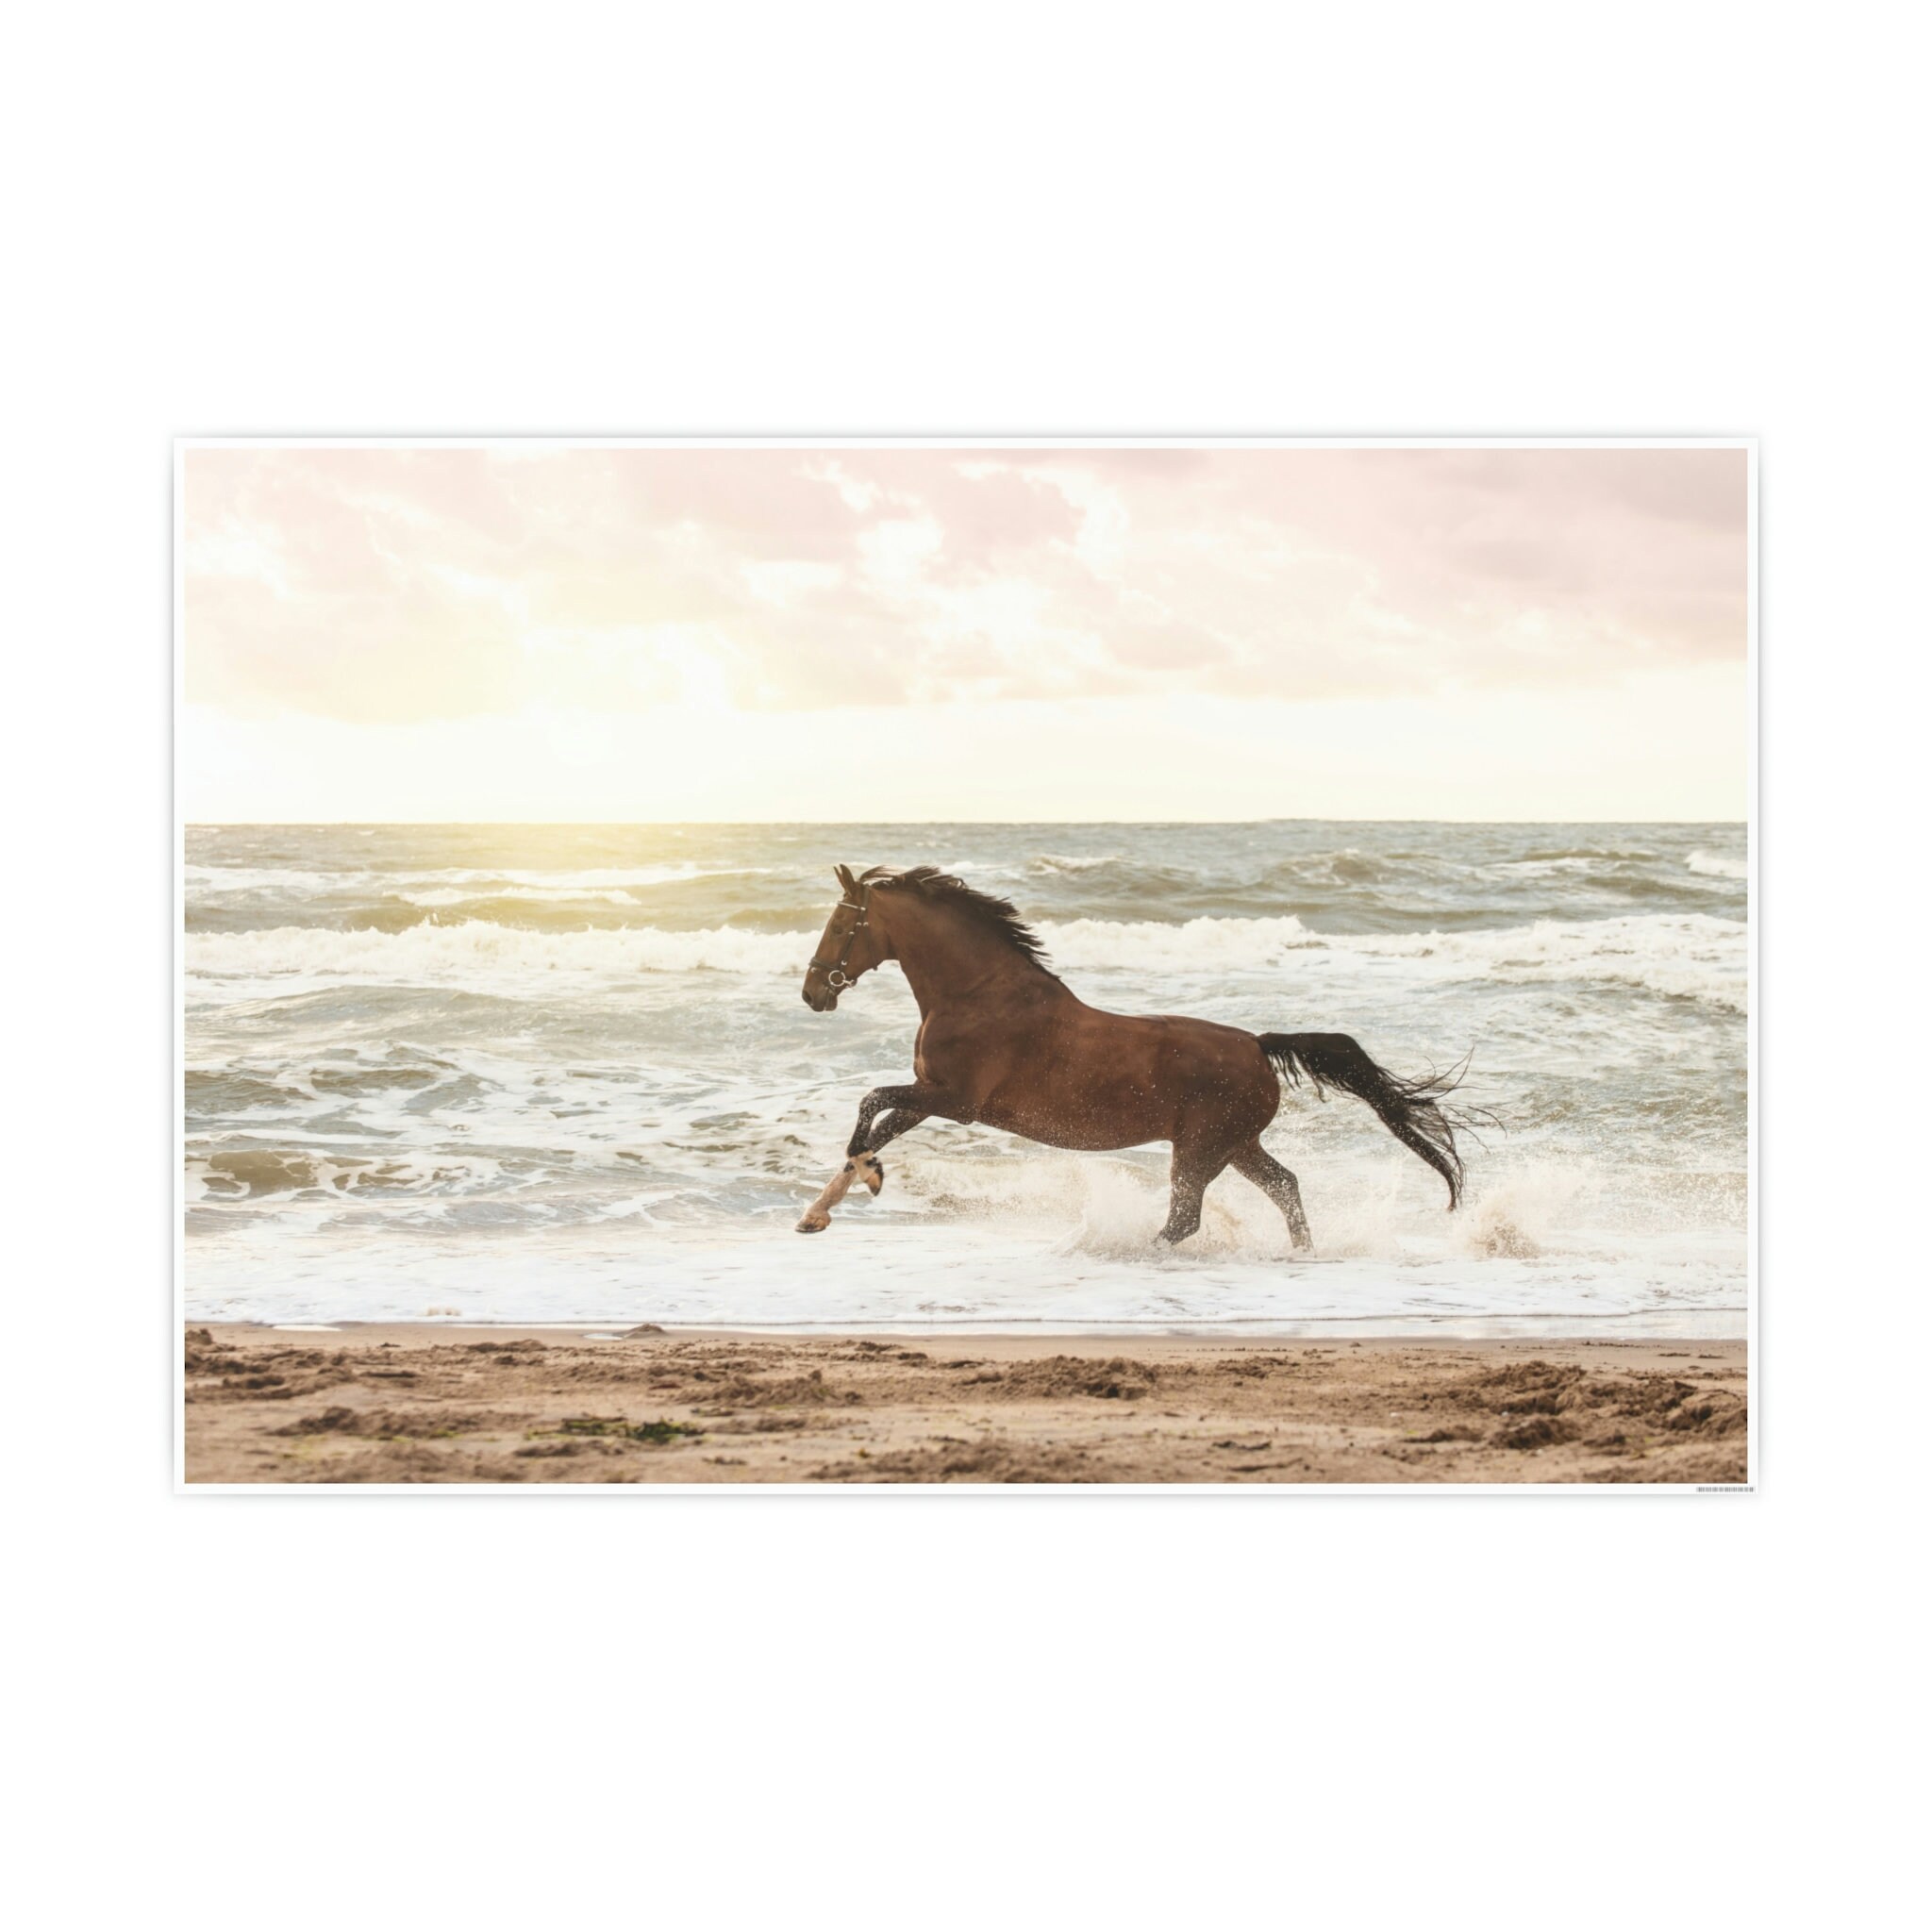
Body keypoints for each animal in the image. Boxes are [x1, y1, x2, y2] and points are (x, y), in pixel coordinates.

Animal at [794, 863, 1478, 1249]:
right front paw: (819, 1213)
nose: (812, 992)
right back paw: (1301, 1253)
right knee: (1284, 1186)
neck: (977, 993)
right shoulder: (932, 1098)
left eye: (840, 926)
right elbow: (877, 1124)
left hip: (1202, 1148)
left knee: (1186, 1217)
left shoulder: (955, 1101)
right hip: (1235, 1145)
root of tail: (1258, 1046)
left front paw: (870, 1179)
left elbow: (870, 1107)